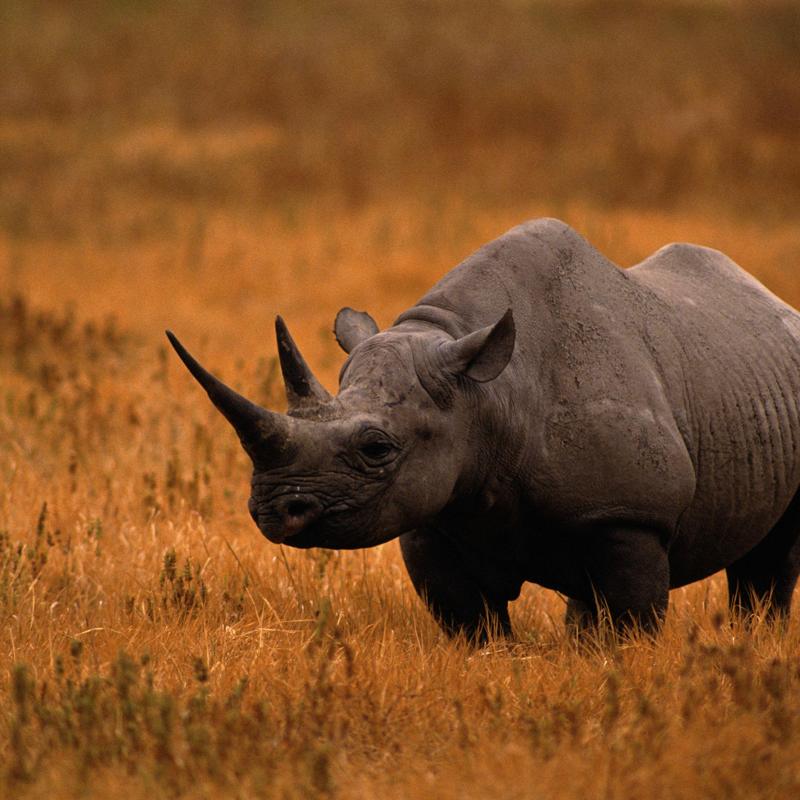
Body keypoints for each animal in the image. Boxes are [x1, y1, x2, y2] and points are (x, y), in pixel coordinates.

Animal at [167, 218, 800, 640]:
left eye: (376, 448)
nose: (274, 510)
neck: (486, 397)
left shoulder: (631, 514)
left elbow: (629, 621)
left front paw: (614, 663)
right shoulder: (431, 513)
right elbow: (470, 623)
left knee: (771, 557)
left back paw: (754, 641)